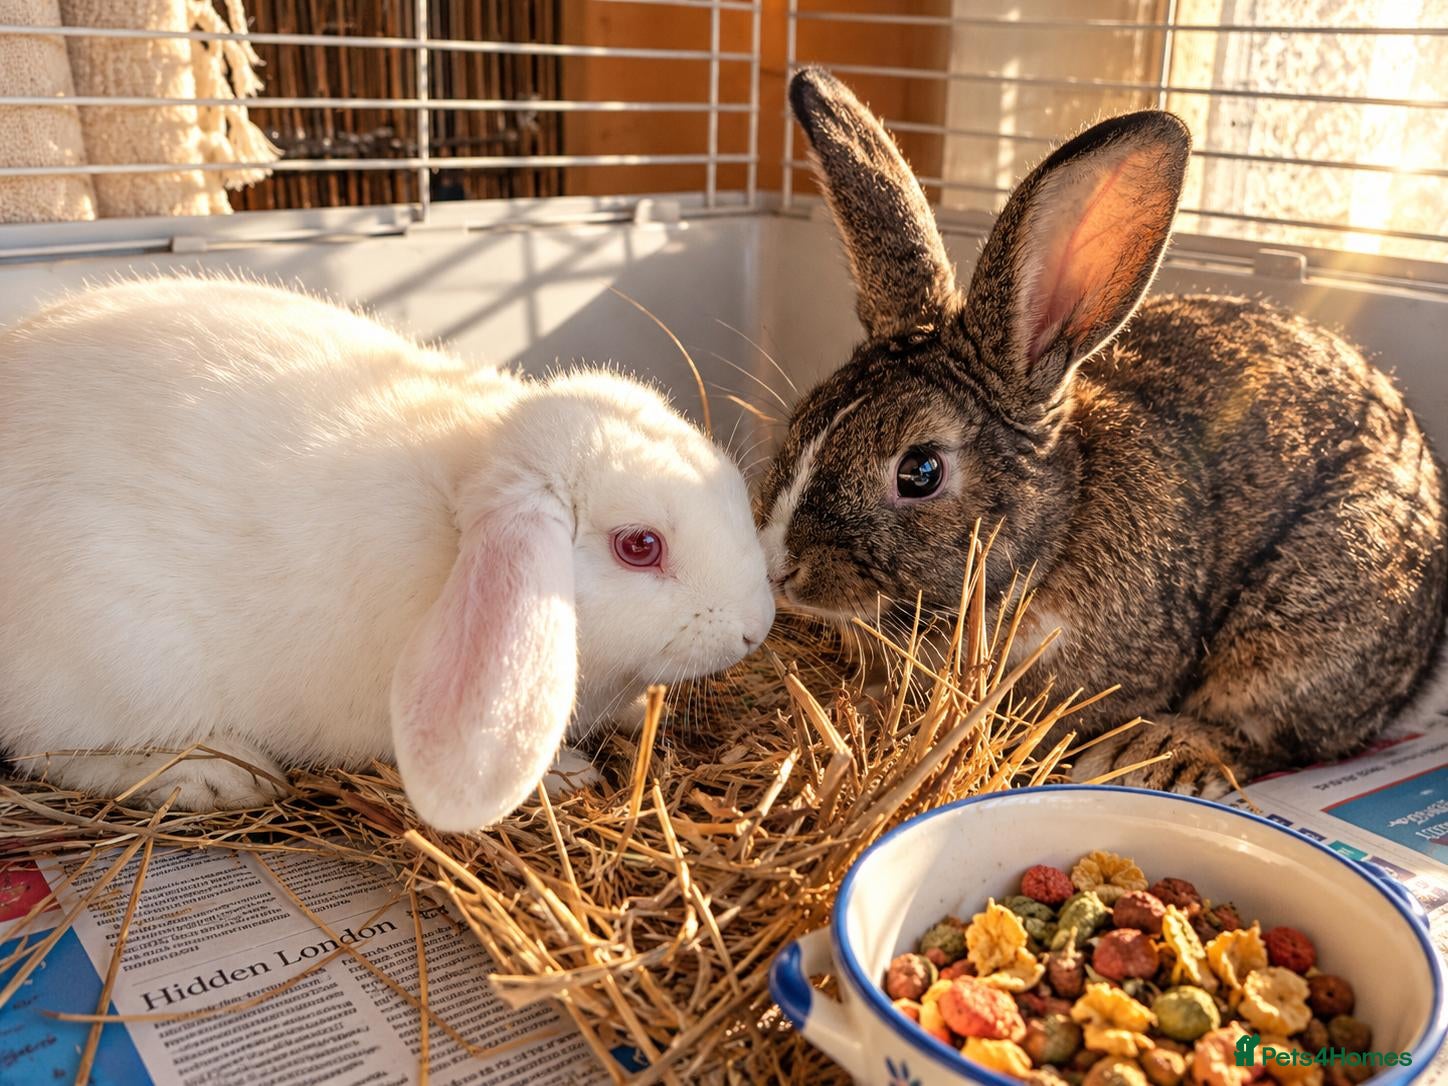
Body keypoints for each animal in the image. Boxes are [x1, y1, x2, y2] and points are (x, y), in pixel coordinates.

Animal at [0, 276, 776, 831]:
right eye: (639, 546)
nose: (757, 626)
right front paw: (567, 775)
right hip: (114, 663)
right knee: (57, 755)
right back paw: (221, 775)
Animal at [758, 68, 1448, 797]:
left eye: (920, 471)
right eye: (802, 418)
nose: (780, 567)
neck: (1056, 530)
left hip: (1305, 630)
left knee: (1271, 734)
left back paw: (1161, 752)